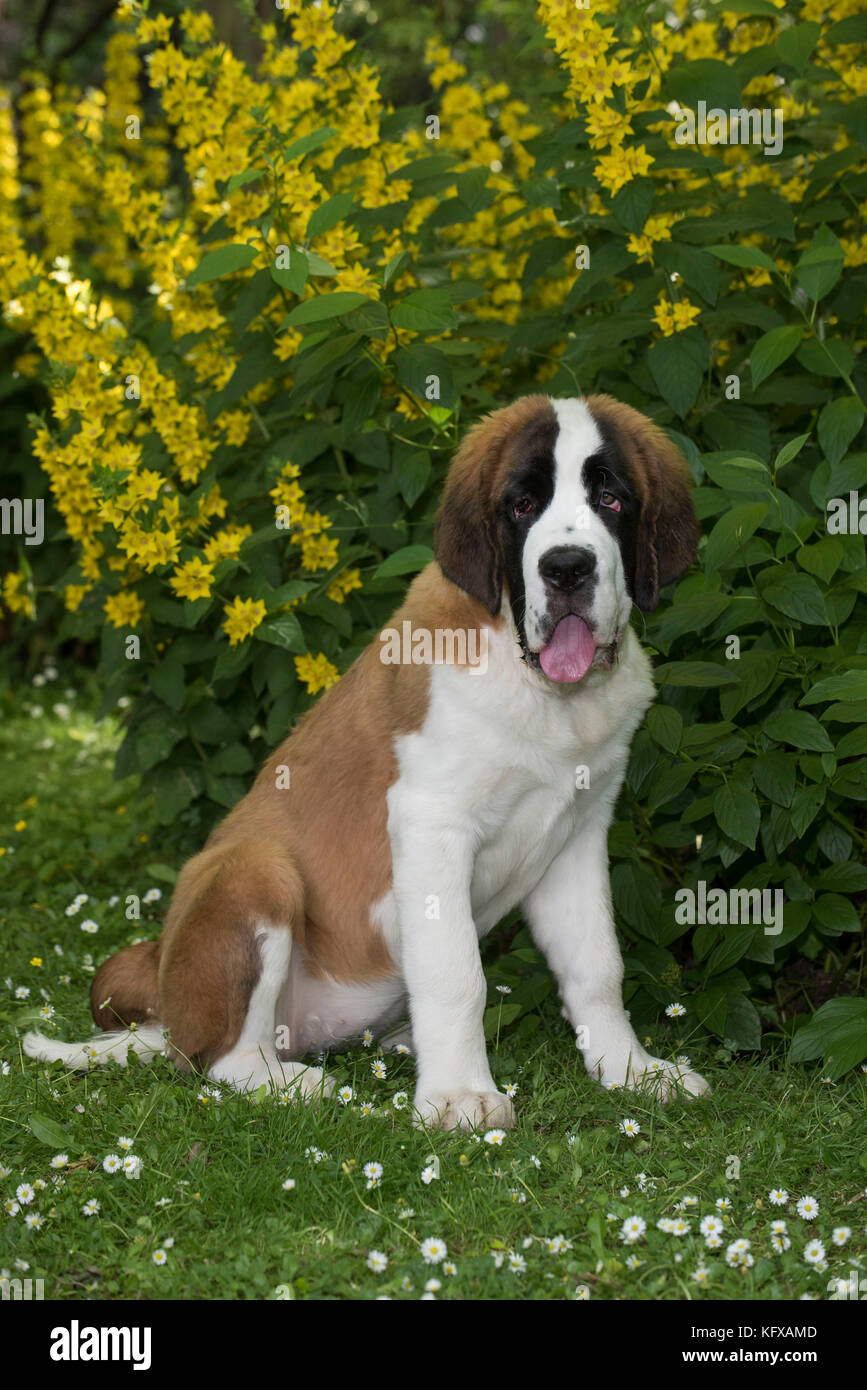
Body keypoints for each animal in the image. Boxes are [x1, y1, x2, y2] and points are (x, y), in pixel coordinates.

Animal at [27, 391, 711, 1128]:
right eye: (522, 504)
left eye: (610, 498)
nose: (566, 568)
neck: (543, 690)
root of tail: (167, 1013)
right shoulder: (431, 822)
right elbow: (456, 974)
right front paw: (461, 1097)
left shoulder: (578, 833)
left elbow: (597, 966)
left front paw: (631, 1071)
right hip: (255, 871)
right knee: (220, 1061)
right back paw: (297, 1085)